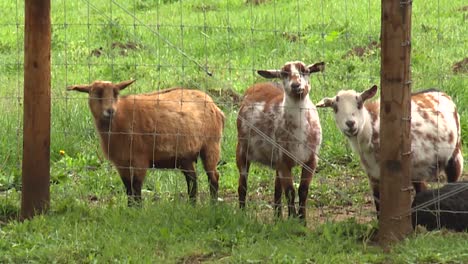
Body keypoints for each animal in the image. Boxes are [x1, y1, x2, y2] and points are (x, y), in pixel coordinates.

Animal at [67, 79, 225, 205]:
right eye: (97, 94)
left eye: (116, 94)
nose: (110, 111)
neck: (118, 121)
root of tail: (214, 105)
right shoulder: (121, 163)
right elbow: (128, 188)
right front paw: (130, 209)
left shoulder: (140, 159)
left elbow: (136, 187)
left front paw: (137, 210)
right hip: (184, 156)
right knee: (192, 179)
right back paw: (192, 205)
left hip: (211, 146)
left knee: (213, 177)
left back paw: (213, 205)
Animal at [238, 60, 326, 220]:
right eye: (284, 73)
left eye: (305, 71)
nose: (296, 85)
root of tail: (258, 85)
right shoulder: (283, 160)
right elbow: (290, 192)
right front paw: (293, 219)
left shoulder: (311, 160)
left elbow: (303, 190)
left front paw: (302, 220)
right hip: (242, 149)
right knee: (242, 185)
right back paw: (242, 213)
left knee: (277, 189)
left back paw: (278, 218)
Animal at [316, 85, 462, 211]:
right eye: (335, 108)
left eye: (359, 104)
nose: (350, 124)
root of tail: (440, 92)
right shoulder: (374, 176)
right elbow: (379, 205)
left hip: (455, 154)